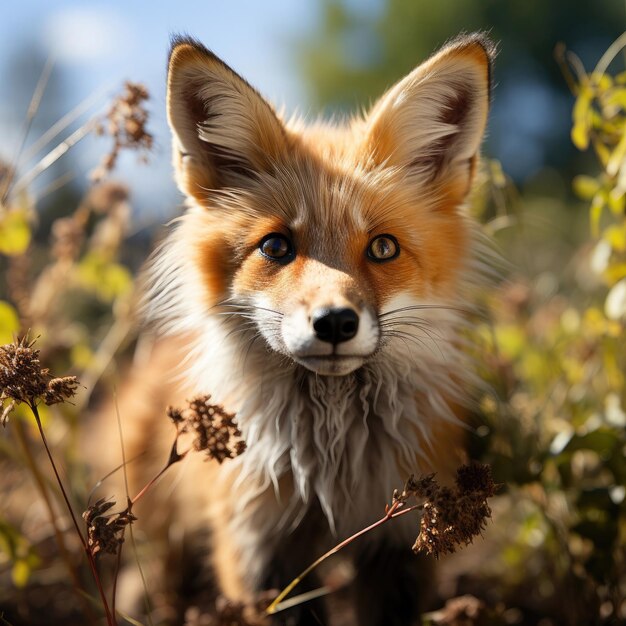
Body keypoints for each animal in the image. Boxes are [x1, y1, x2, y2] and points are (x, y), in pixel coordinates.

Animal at [106, 33, 492, 624]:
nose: (334, 322)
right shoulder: (257, 546)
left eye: (383, 248)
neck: (331, 470)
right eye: (276, 246)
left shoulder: (400, 544)